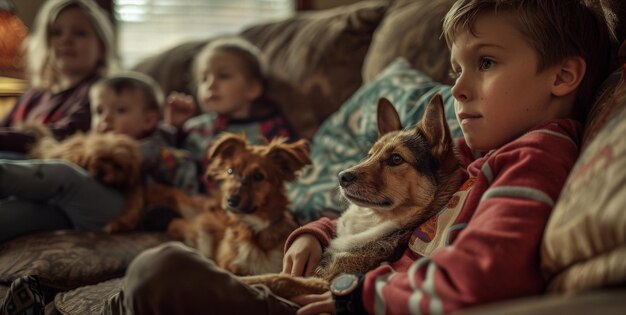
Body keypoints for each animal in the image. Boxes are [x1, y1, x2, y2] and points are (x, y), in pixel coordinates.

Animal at [239, 94, 464, 298]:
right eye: (370, 154)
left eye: (396, 159)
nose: (341, 177)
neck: (376, 219)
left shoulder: (328, 281)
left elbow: (279, 279)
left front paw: (246, 280)